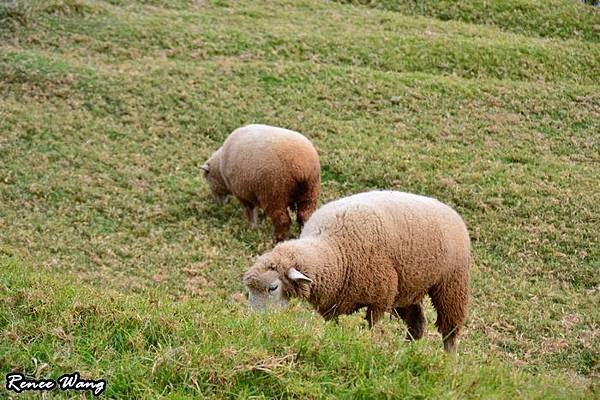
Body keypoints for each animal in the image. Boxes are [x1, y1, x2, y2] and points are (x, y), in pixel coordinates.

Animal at [241, 191, 472, 354]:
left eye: (273, 287)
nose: (253, 322)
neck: (333, 249)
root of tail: (449, 210)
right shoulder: (332, 305)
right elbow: (334, 327)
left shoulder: (380, 298)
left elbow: (369, 326)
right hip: (406, 287)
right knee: (417, 326)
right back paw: (404, 353)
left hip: (451, 283)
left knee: (449, 331)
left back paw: (449, 363)